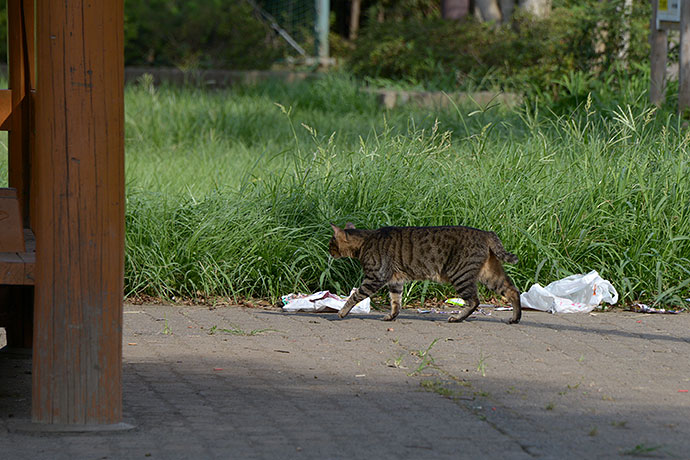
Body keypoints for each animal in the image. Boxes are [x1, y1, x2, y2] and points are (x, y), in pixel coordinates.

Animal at [330, 223, 520, 324]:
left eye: (331, 243)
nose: (328, 251)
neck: (365, 241)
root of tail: (486, 233)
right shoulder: (395, 282)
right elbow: (396, 302)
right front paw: (391, 316)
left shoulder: (375, 277)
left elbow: (355, 296)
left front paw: (342, 312)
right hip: (489, 274)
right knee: (512, 290)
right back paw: (515, 318)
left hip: (460, 274)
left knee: (474, 301)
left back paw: (457, 318)